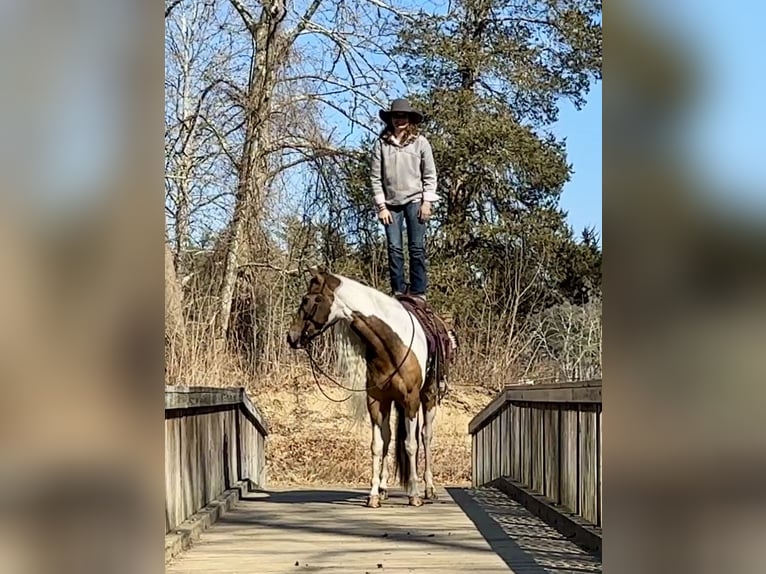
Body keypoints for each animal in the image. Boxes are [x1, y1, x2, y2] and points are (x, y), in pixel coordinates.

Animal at [286, 268, 456, 508]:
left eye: (312, 299)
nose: (292, 336)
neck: (393, 343)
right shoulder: (376, 400)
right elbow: (378, 445)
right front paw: (374, 494)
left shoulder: (411, 400)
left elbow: (411, 444)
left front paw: (414, 494)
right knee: (388, 437)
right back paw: (384, 488)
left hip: (428, 397)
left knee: (426, 436)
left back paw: (429, 489)